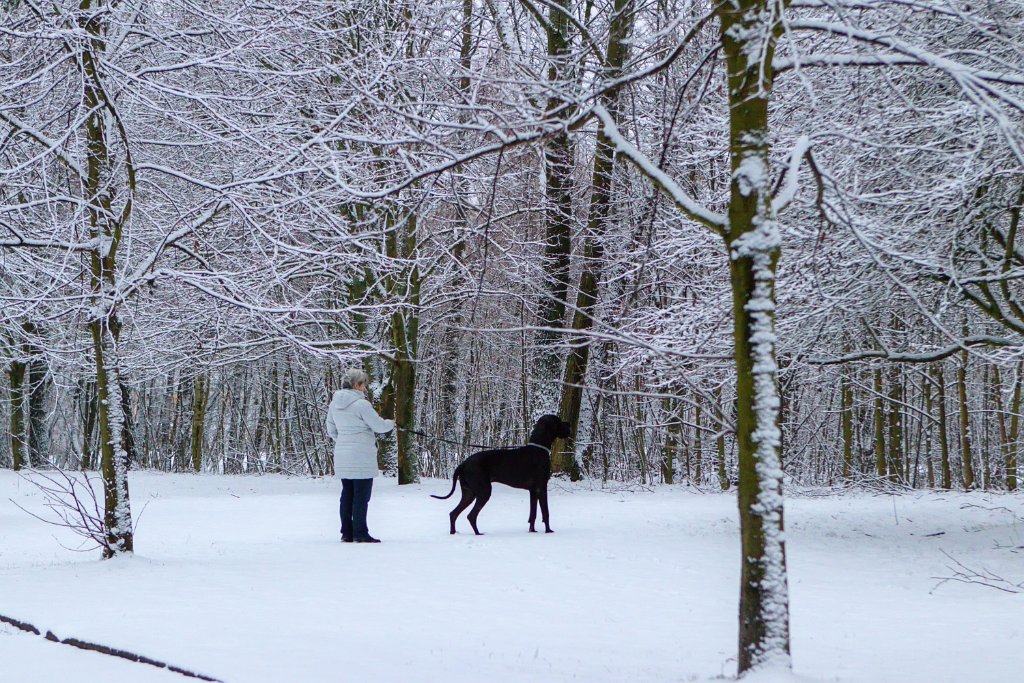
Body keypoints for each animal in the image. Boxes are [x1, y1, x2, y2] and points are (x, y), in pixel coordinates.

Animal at [432, 413, 573, 536]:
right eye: (559, 421)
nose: (569, 424)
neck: (538, 448)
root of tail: (463, 464)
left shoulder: (533, 491)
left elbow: (533, 514)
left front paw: (532, 531)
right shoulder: (541, 487)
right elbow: (546, 512)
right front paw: (548, 531)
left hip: (469, 493)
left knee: (453, 513)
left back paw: (453, 534)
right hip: (484, 491)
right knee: (471, 515)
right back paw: (478, 533)